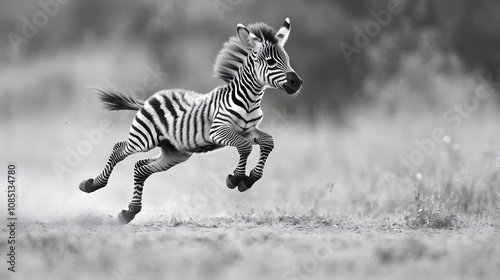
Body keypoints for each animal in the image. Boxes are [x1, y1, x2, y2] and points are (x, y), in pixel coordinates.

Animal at [80, 18, 302, 223]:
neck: (249, 100)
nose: (297, 82)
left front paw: (250, 179)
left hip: (174, 153)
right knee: (119, 149)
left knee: (140, 167)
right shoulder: (218, 130)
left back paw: (129, 212)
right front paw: (236, 178)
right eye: (271, 61)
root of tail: (148, 100)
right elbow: (244, 146)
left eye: (287, 59)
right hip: (143, 139)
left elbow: (268, 142)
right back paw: (92, 185)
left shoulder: (249, 130)